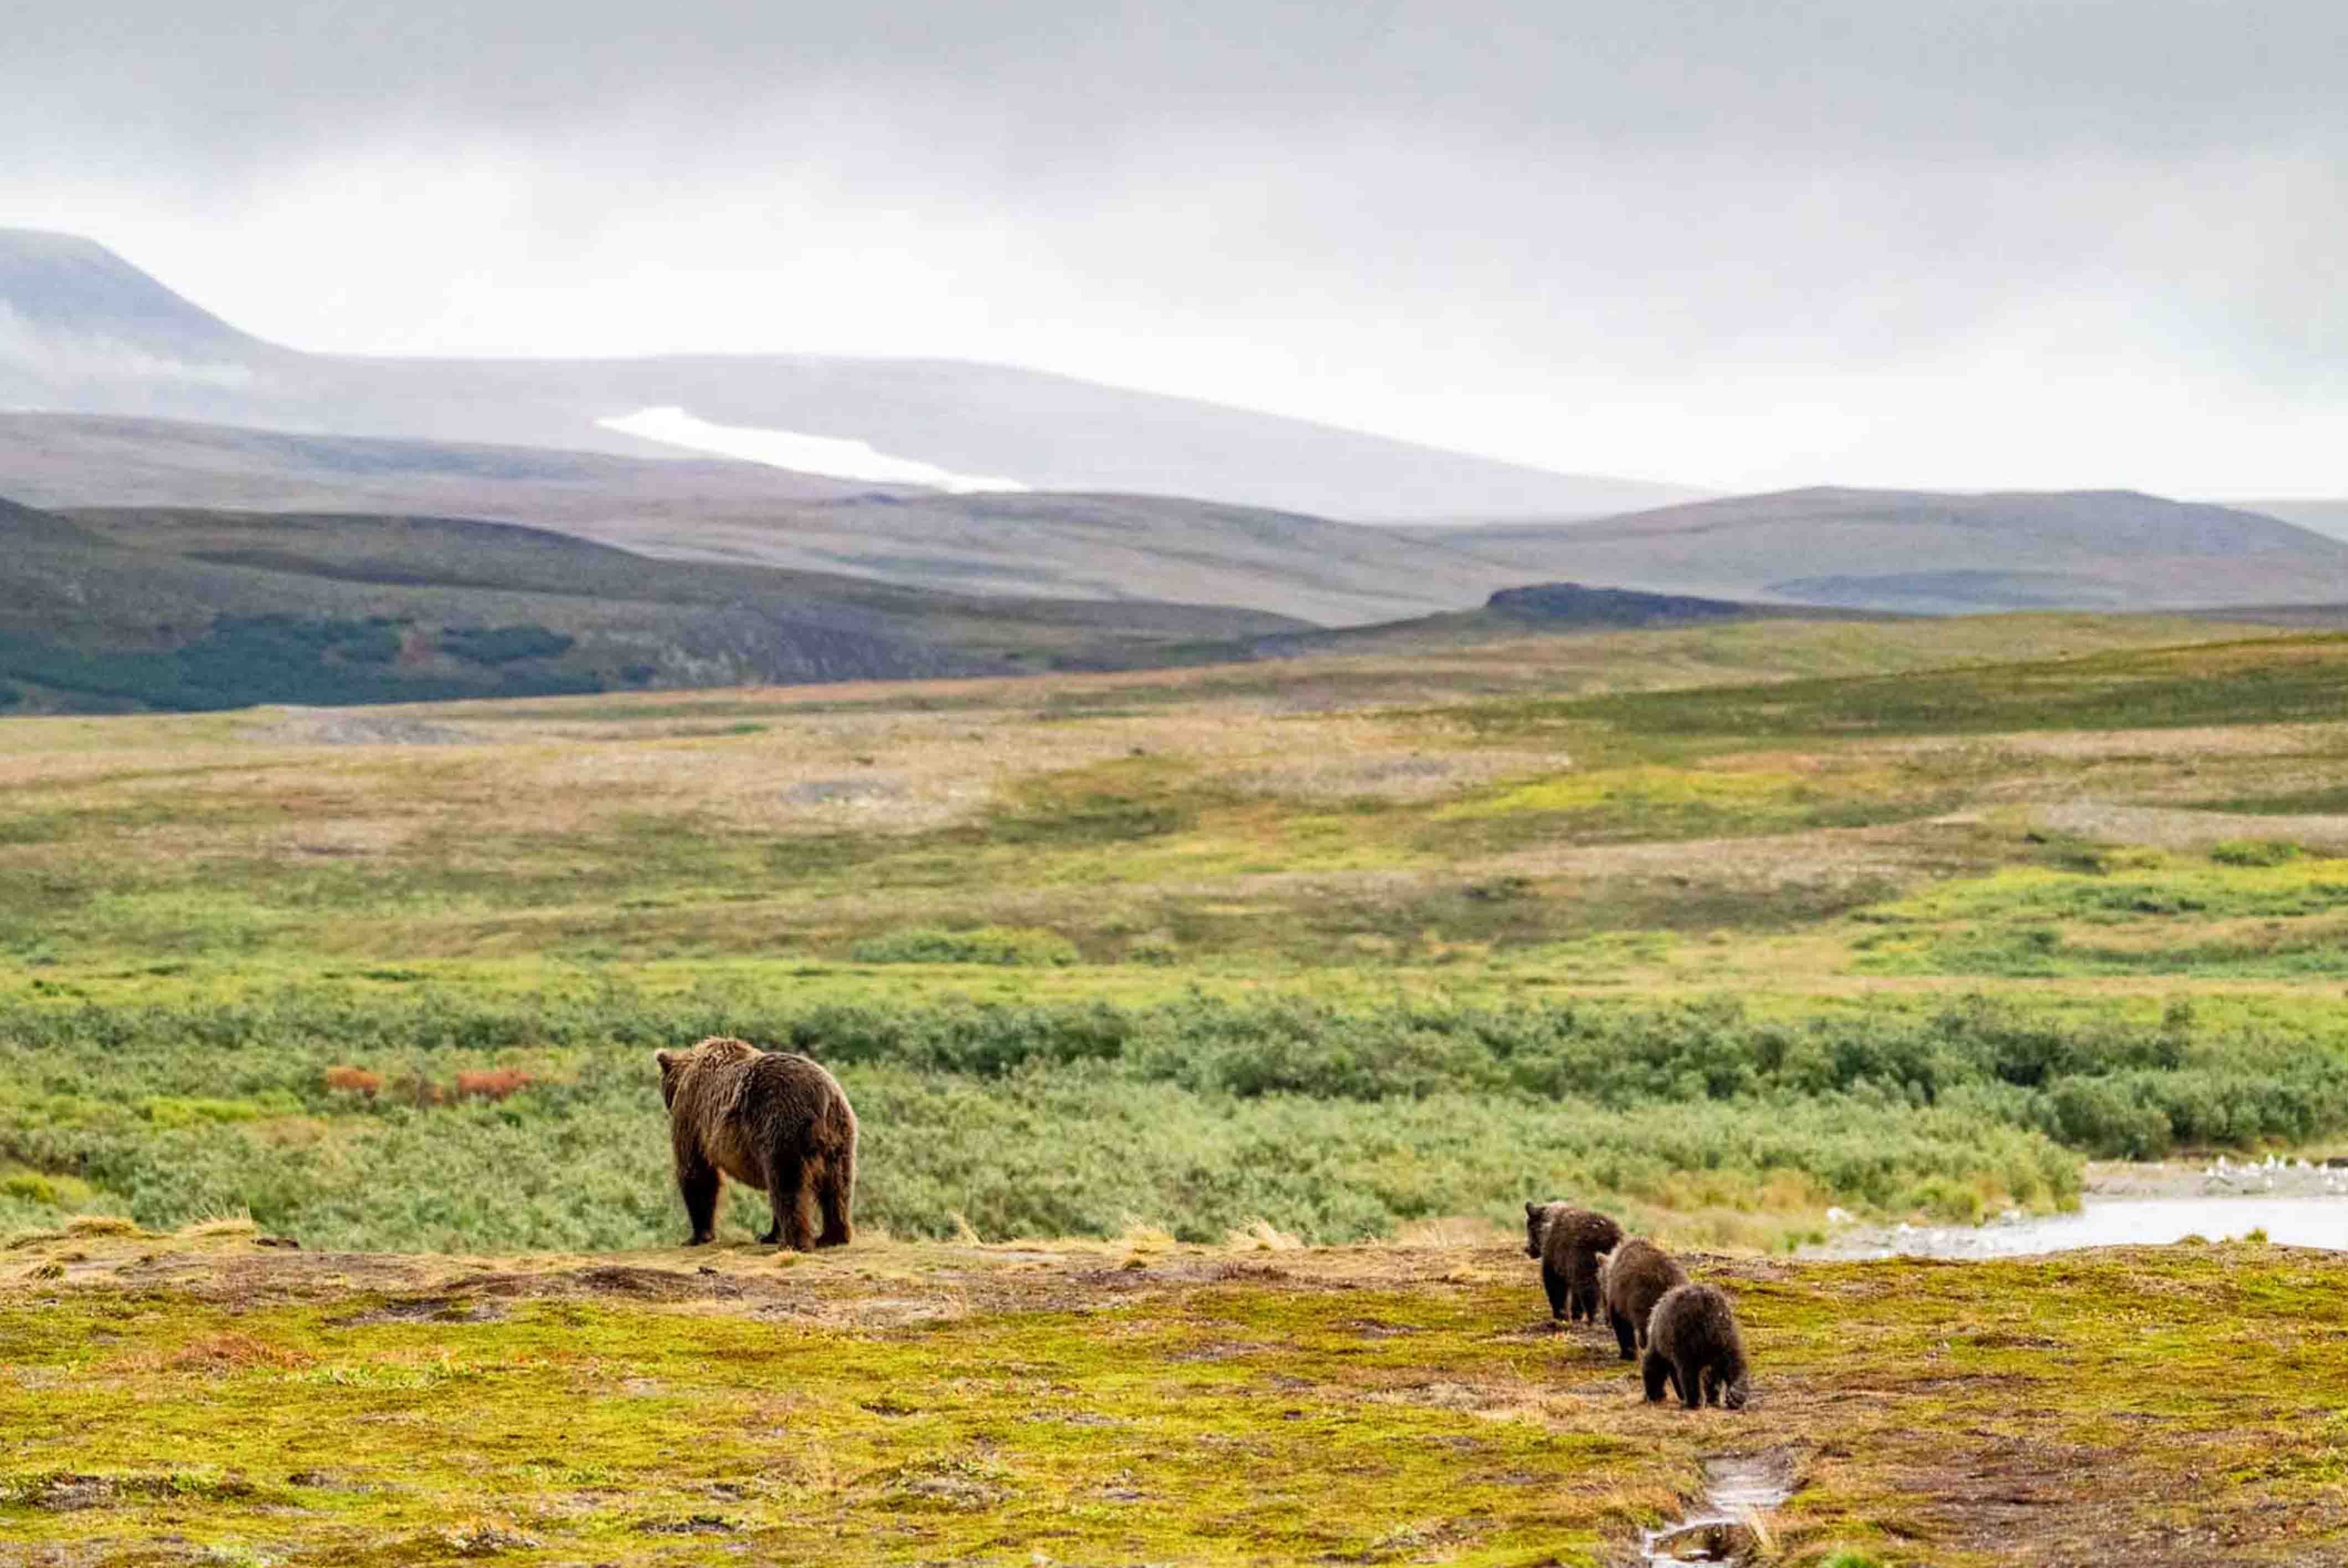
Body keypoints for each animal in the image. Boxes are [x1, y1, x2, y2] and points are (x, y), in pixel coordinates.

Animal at [653, 1036, 858, 1250]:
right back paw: (832, 1236)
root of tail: (824, 1098)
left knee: (788, 1184)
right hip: (840, 1138)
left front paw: (698, 1236)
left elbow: (696, 1172)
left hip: (783, 1126)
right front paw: (770, 1235)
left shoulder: (692, 1115)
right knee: (838, 1186)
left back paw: (795, 1242)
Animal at [1524, 1200, 1624, 1324]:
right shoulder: (1572, 1268)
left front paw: (1561, 1316)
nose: (1527, 1250)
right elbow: (1576, 1295)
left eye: (1529, 1230)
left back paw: (1594, 1319)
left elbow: (1555, 1287)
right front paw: (1576, 1315)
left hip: (1588, 1263)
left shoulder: (1555, 1260)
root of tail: (1610, 1239)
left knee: (1590, 1292)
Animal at [1596, 1237, 1688, 1361]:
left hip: (1645, 1298)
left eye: (1601, 1289)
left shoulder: (1621, 1297)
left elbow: (1623, 1327)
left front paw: (1627, 1354)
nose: (1606, 1321)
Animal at [1642, 1282, 1750, 1410]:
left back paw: (1693, 1401)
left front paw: (1654, 1394)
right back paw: (1737, 1393)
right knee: (1733, 1358)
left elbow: (1655, 1366)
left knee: (1688, 1369)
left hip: (1686, 1332)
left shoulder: (1662, 1343)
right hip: (1726, 1330)